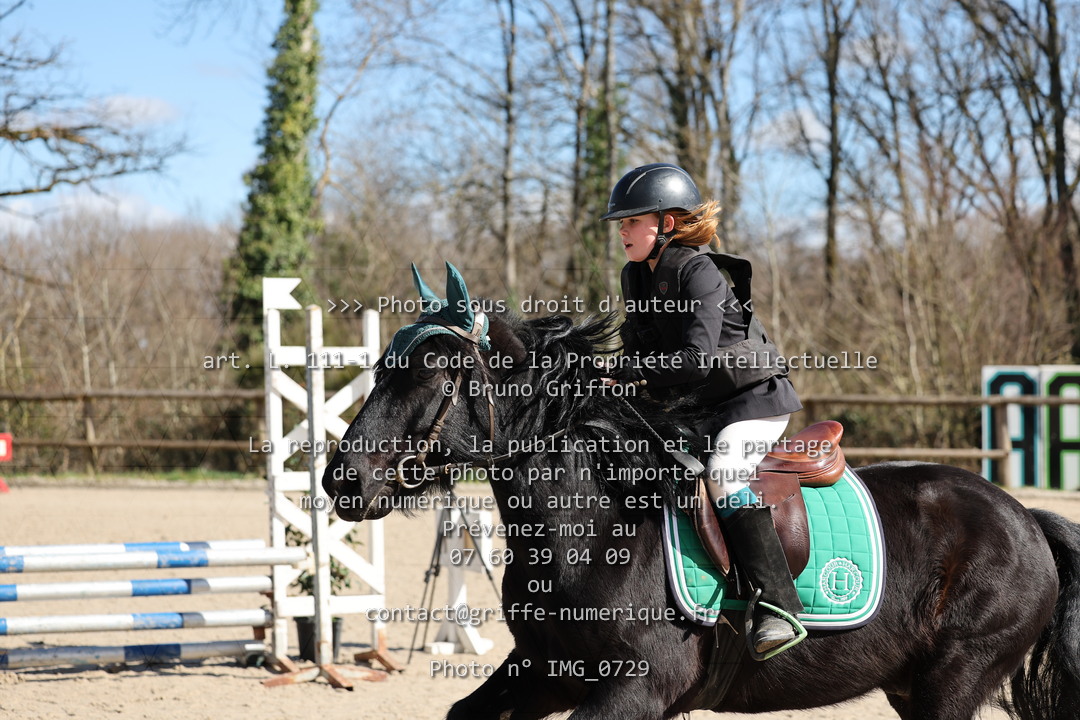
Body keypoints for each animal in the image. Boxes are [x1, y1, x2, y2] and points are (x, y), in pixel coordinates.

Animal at [323, 289, 1080, 719]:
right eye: (382, 370)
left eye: (435, 378)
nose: (342, 481)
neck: (592, 529)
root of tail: (1024, 517)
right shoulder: (546, 674)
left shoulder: (637, 688)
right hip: (908, 683)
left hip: (955, 676)